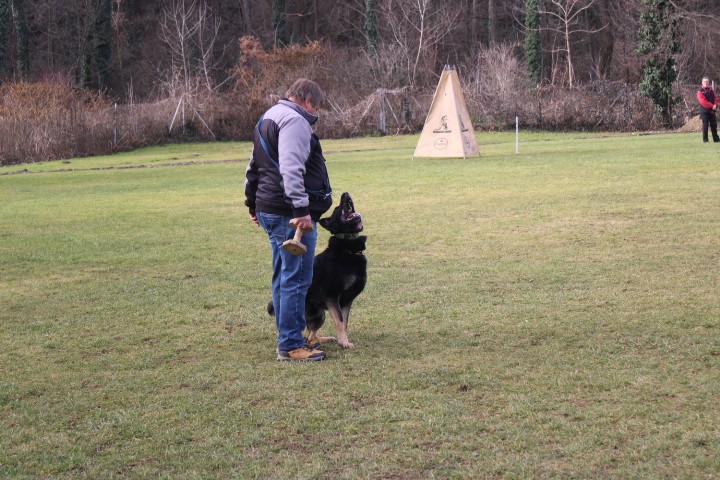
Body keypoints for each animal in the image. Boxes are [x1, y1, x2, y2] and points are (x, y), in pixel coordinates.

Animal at [268, 192, 368, 348]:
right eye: (337, 209)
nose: (345, 193)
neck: (348, 249)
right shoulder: (332, 296)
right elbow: (340, 320)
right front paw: (344, 342)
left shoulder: (347, 300)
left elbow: (345, 322)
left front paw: (343, 340)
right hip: (317, 313)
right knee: (308, 337)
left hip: (320, 314)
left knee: (311, 335)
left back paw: (325, 339)